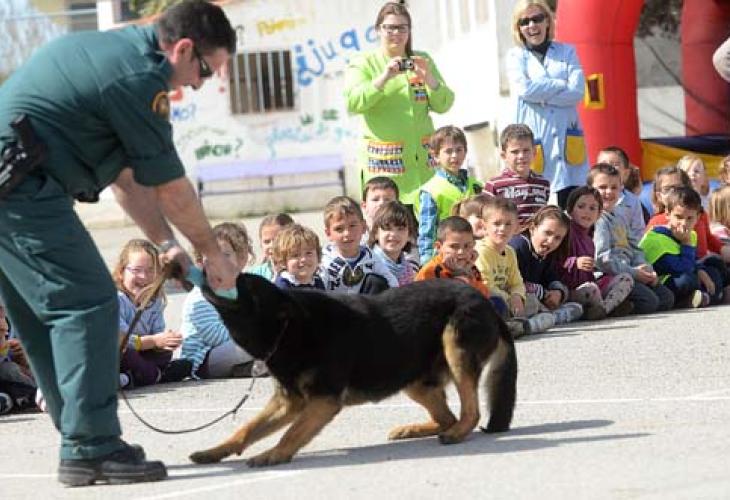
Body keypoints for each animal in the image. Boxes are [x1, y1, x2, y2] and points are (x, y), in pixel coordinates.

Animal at [189, 273, 517, 467]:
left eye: (253, 289)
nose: (233, 273)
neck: (290, 329)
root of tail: (488, 305)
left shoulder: (323, 401)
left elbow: (290, 434)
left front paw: (272, 454)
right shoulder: (288, 403)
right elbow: (245, 429)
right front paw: (214, 451)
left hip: (455, 348)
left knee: (470, 413)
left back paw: (457, 433)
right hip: (413, 381)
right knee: (447, 417)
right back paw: (414, 429)